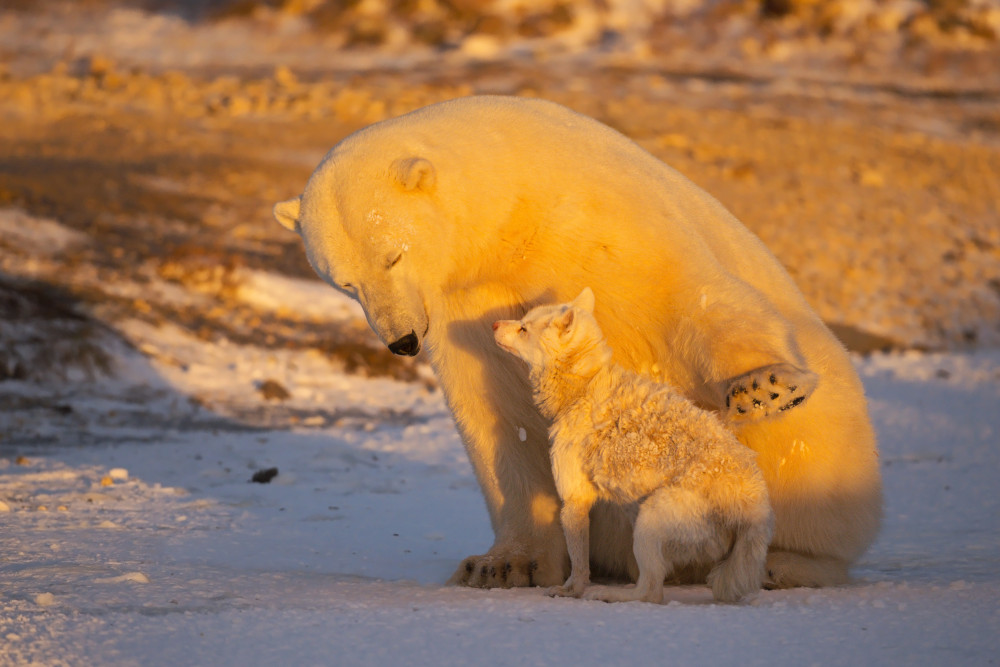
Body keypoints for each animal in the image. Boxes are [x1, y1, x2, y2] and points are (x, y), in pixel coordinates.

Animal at [492, 288, 772, 604]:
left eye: (524, 328)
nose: (493, 324)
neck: (582, 386)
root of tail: (754, 507)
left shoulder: (574, 499)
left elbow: (578, 565)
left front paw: (570, 592)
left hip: (649, 520)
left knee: (650, 592)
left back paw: (608, 595)